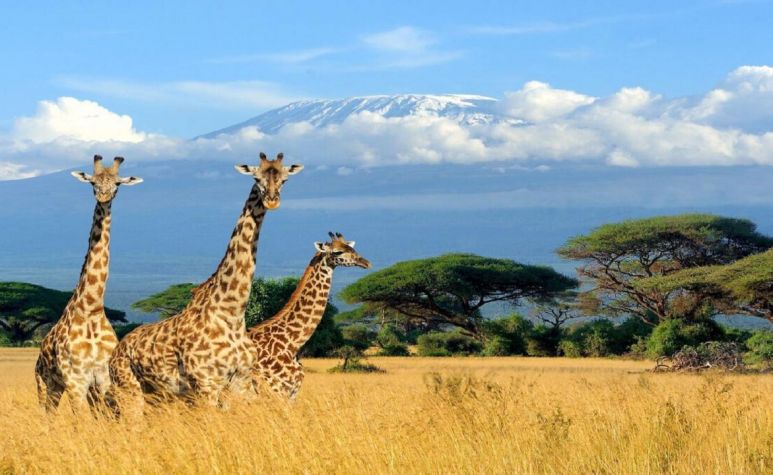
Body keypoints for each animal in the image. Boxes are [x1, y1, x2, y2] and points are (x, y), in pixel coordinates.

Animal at [35, 155, 143, 413]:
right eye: (93, 182)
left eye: (118, 184)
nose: (103, 196)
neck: (92, 308)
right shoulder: (75, 380)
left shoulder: (103, 379)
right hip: (45, 384)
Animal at [108, 153, 303, 412]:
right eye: (256, 178)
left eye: (284, 179)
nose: (271, 200)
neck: (232, 313)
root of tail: (116, 351)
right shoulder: (206, 383)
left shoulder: (240, 382)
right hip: (129, 389)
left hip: (157, 395)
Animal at [248, 232, 371, 400]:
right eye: (337, 252)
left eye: (351, 248)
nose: (366, 262)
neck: (291, 343)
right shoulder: (277, 390)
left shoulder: (290, 393)